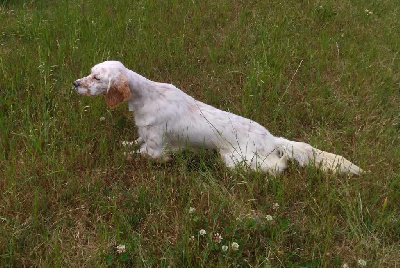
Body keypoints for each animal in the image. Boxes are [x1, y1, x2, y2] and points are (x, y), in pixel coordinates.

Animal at [72, 60, 362, 176]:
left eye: (96, 78)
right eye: (90, 72)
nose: (75, 83)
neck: (146, 96)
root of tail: (271, 138)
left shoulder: (157, 149)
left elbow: (140, 154)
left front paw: (122, 156)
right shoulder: (145, 135)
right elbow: (135, 143)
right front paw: (125, 145)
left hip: (236, 160)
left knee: (279, 165)